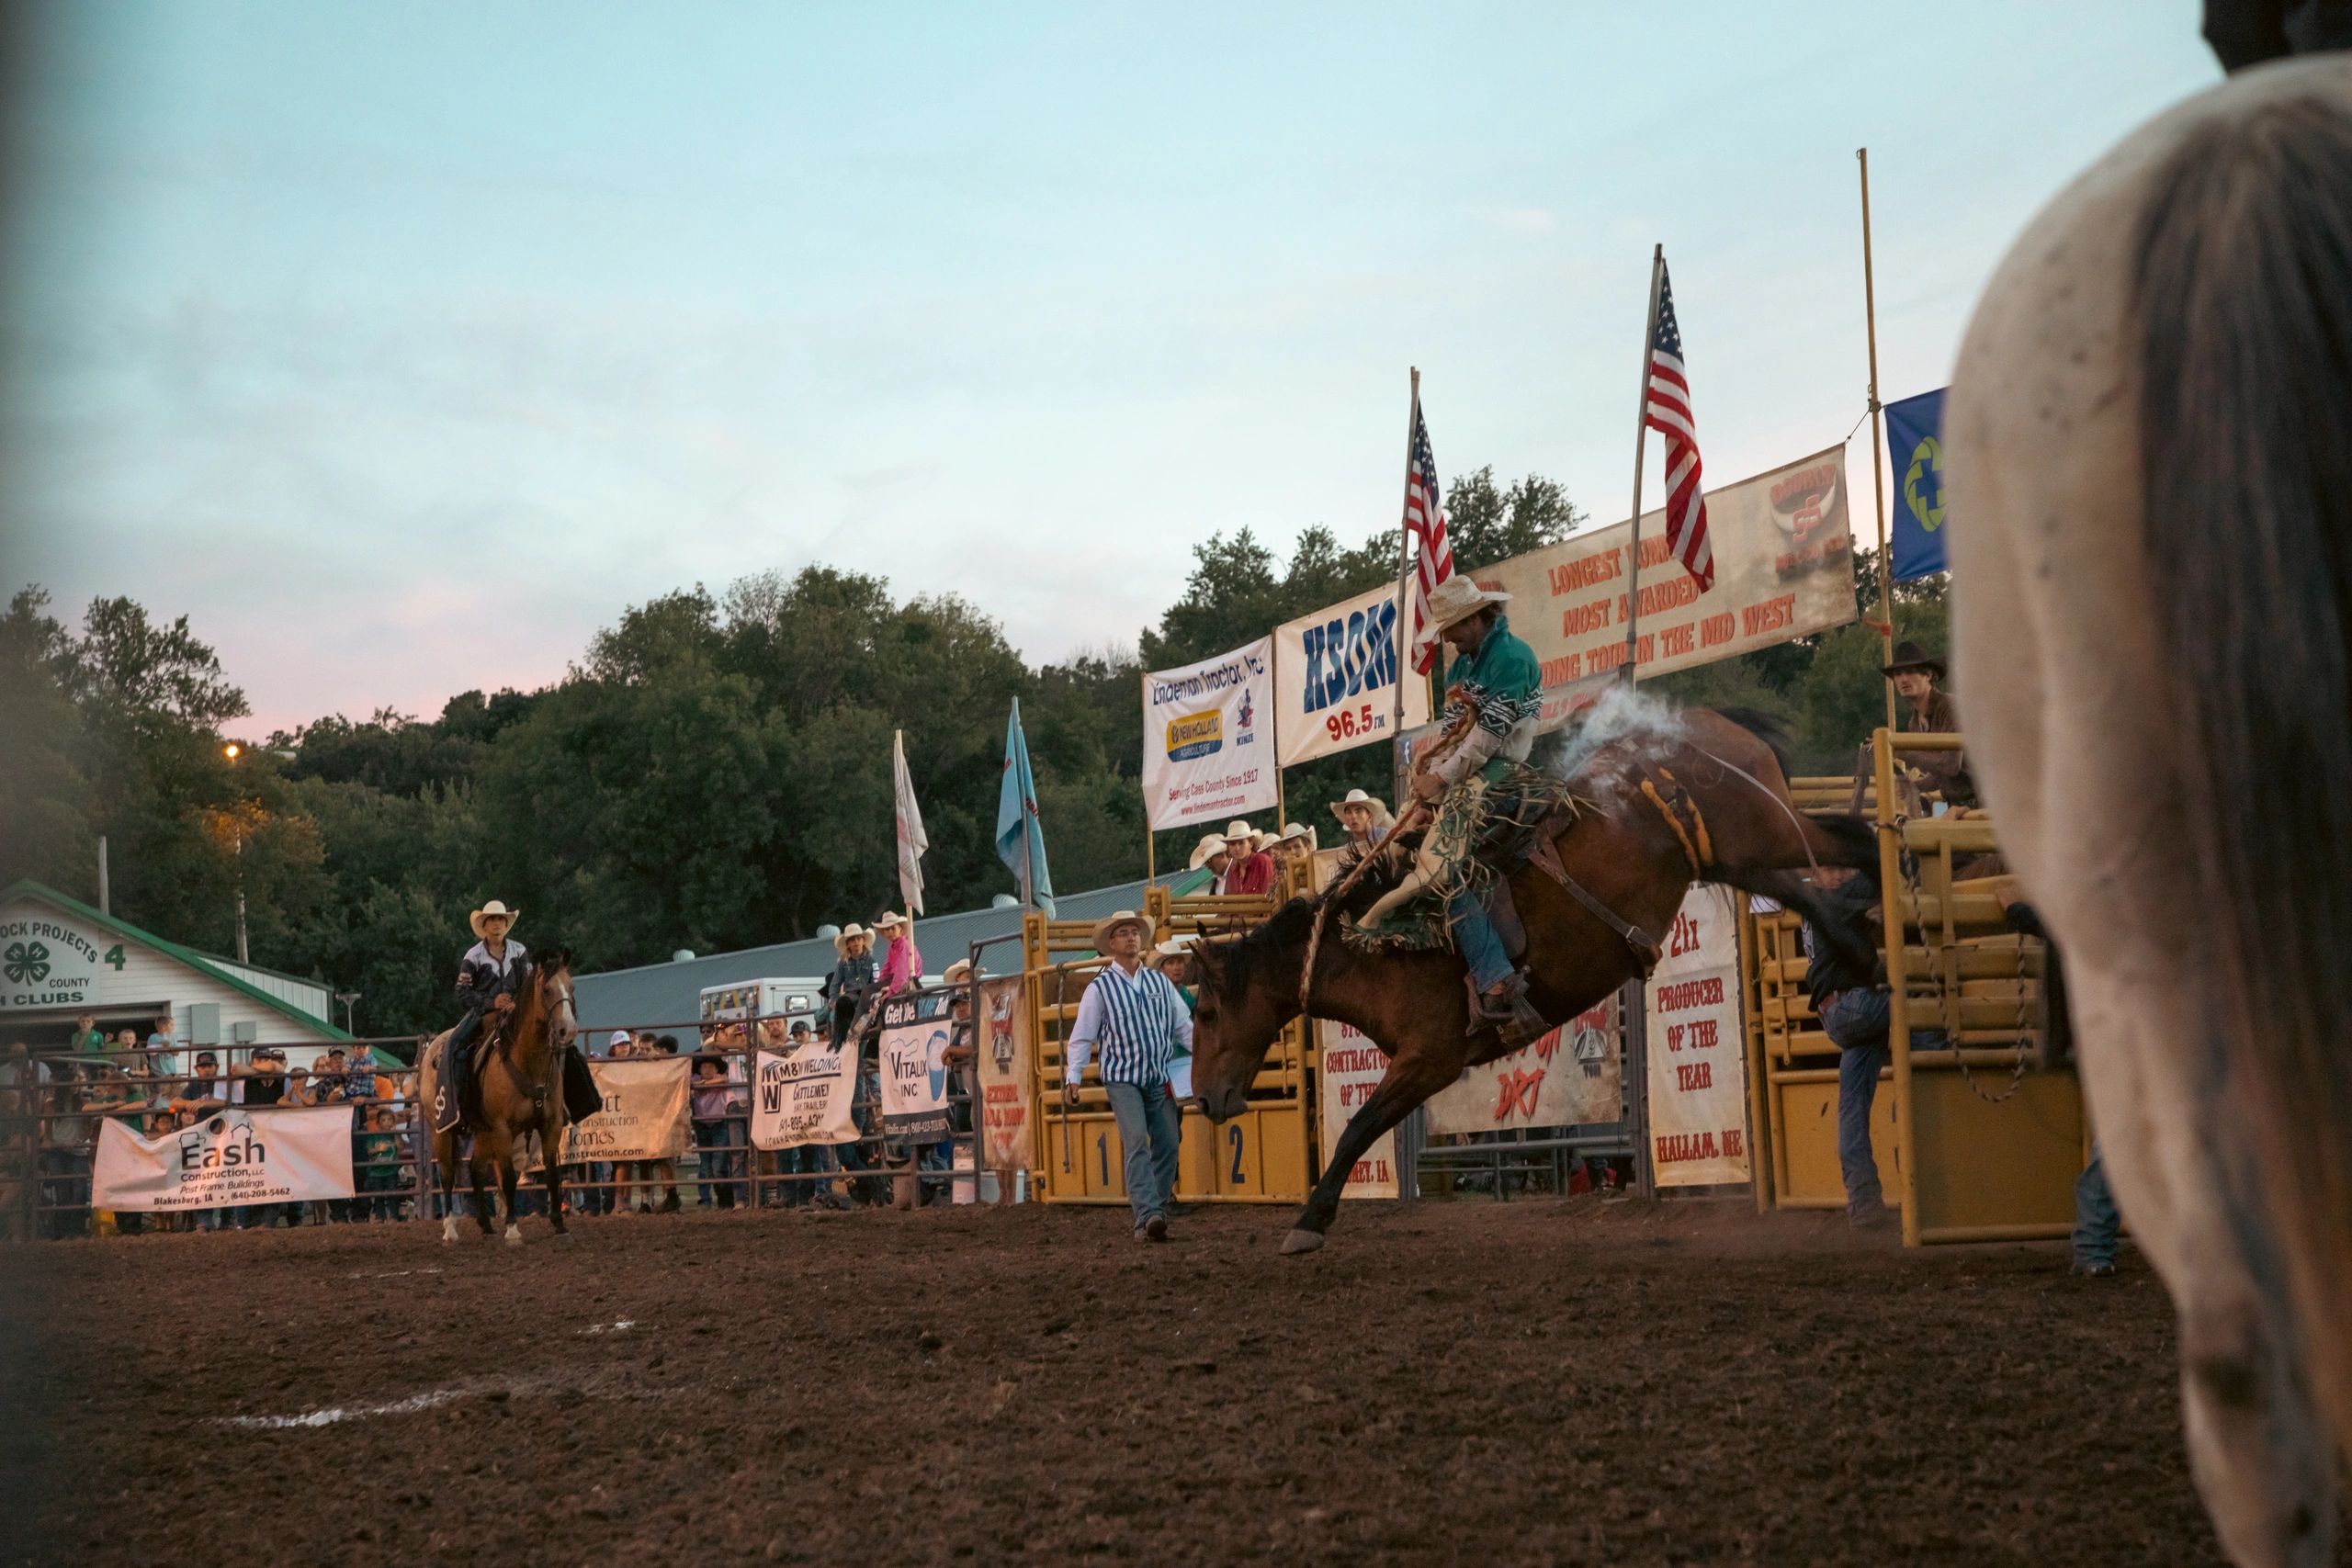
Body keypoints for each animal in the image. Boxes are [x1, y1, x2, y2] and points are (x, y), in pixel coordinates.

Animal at [418, 944, 578, 1250]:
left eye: (571, 986)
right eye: (547, 990)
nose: (568, 1030)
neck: (527, 1060)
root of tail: (431, 1048)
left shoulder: (550, 1125)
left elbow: (552, 1173)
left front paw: (559, 1225)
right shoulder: (504, 1130)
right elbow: (508, 1180)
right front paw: (513, 1230)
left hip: (483, 1132)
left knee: (476, 1170)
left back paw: (486, 1225)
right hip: (441, 1130)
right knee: (447, 1174)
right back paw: (450, 1230)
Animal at [1194, 705, 1871, 1259]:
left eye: (1203, 1013)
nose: (1203, 1099)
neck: (1375, 945)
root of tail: (1711, 724)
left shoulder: (1428, 1060)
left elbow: (1357, 1129)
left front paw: (1308, 1221)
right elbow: (1360, 1129)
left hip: (1770, 836)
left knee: (1856, 844)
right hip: (1747, 859)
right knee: (1829, 901)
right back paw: (1863, 964)